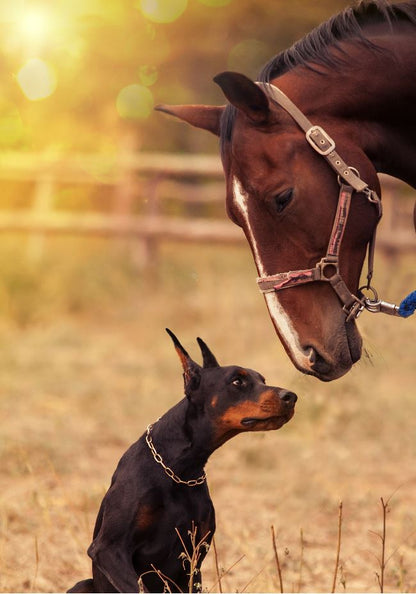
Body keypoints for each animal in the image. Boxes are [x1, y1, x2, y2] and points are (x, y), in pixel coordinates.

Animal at [68, 328, 296, 592]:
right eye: (237, 381)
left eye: (263, 380)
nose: (291, 396)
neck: (180, 468)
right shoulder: (109, 549)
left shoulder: (194, 558)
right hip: (83, 584)